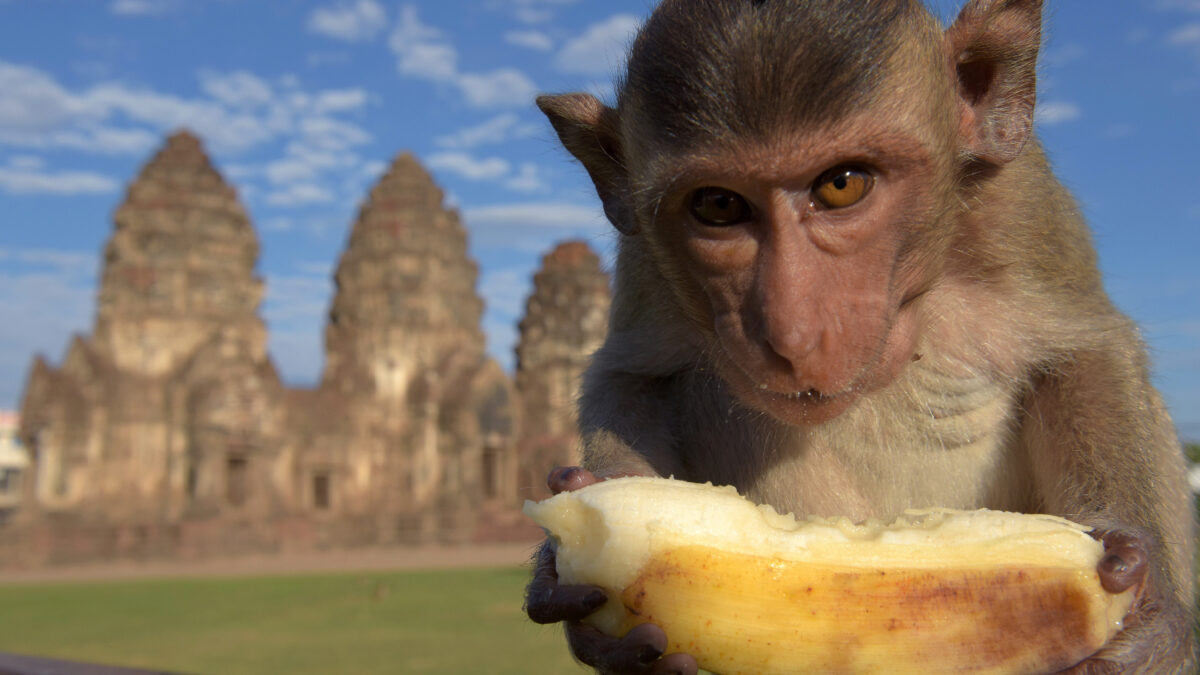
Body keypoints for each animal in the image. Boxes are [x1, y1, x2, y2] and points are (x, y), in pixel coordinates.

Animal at [528, 0, 1200, 667]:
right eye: (718, 206)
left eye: (842, 183)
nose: (794, 333)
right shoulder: (644, 256)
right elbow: (633, 373)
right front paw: (586, 570)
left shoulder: (1024, 203)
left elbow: (1084, 351)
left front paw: (1148, 623)